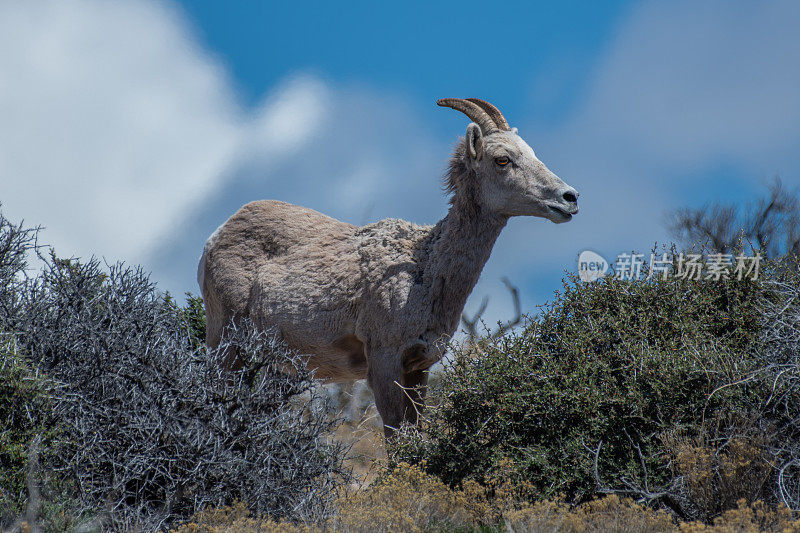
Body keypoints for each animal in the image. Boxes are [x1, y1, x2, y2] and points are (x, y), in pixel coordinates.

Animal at [197, 97, 580, 434]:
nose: (570, 198)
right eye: (503, 159)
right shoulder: (384, 363)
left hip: (276, 368)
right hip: (227, 344)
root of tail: (214, 237)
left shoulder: (419, 368)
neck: (425, 270)